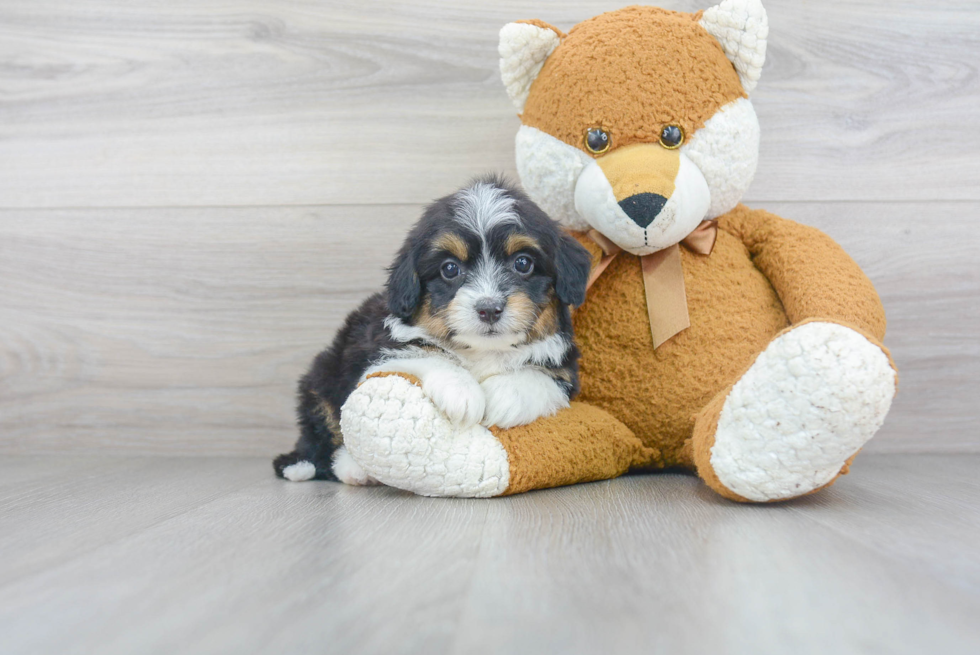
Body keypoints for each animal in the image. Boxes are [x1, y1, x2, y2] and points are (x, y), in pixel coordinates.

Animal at [272, 177, 588, 484]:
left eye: (523, 263)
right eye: (450, 269)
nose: (489, 308)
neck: (481, 351)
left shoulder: (564, 365)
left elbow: (542, 376)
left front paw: (507, 394)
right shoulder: (376, 351)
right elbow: (424, 352)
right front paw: (462, 391)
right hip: (324, 375)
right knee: (322, 430)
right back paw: (323, 467)